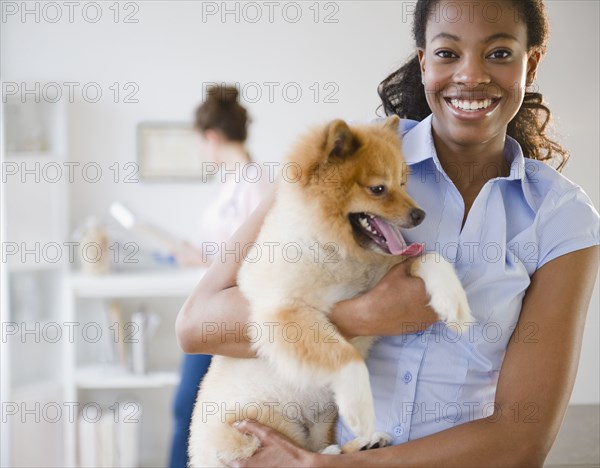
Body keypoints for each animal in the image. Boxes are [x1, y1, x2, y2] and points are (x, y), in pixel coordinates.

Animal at [190, 115, 472, 466]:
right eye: (378, 189)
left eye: (403, 183)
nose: (420, 214)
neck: (336, 250)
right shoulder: (286, 313)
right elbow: (346, 357)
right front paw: (361, 409)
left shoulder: (388, 270)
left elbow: (428, 257)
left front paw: (454, 304)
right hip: (259, 424)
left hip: (321, 421)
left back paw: (361, 445)